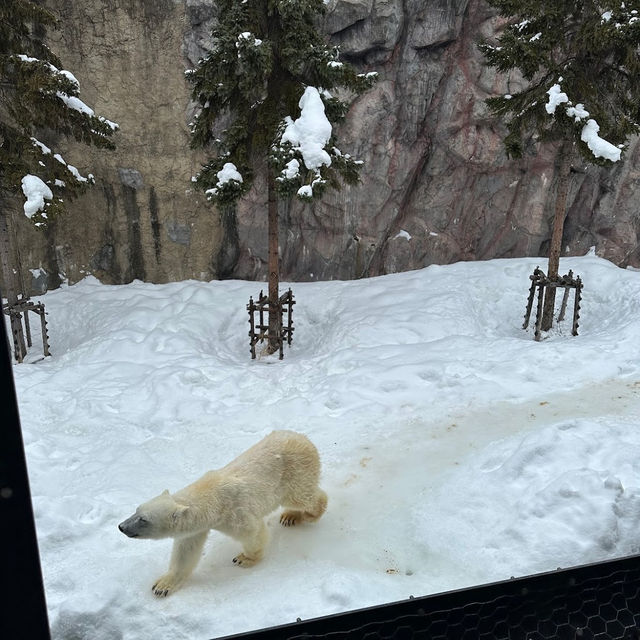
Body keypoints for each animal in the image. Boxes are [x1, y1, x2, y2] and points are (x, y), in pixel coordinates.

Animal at [119, 428, 328, 596]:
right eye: (136, 509)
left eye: (144, 519)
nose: (121, 526)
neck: (210, 497)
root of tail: (303, 438)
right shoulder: (196, 529)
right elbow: (185, 552)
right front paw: (162, 586)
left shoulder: (234, 512)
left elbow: (253, 532)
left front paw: (244, 558)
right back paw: (291, 515)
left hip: (295, 472)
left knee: (303, 496)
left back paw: (304, 514)